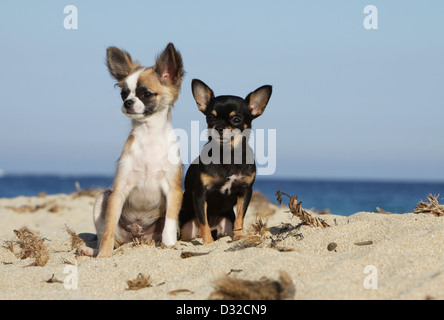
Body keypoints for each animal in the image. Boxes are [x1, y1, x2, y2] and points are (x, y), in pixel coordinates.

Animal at [79, 43, 184, 258]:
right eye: (123, 94)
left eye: (146, 94)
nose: (127, 102)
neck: (149, 136)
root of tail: (137, 234)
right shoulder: (118, 192)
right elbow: (108, 231)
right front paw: (103, 257)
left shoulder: (174, 190)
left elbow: (169, 226)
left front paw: (169, 246)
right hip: (102, 198)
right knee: (108, 237)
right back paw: (91, 250)